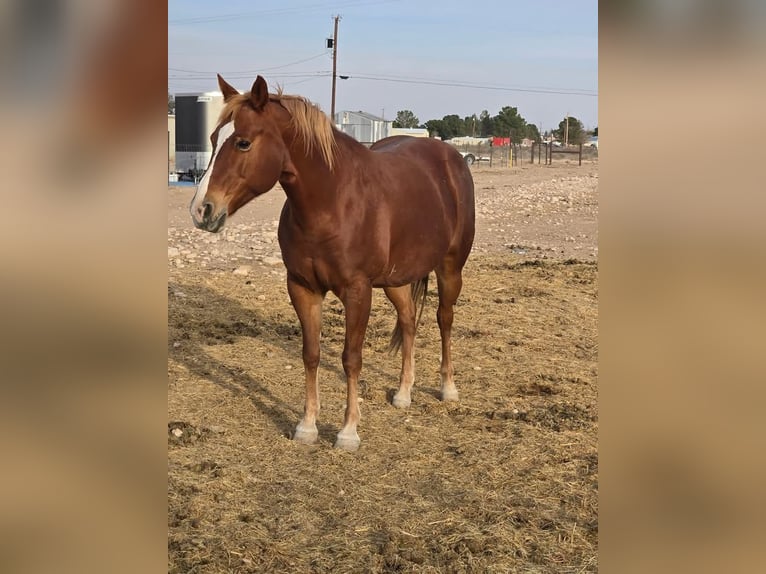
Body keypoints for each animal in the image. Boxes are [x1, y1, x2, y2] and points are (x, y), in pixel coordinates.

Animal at [190, 74, 474, 452]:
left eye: (243, 142)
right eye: (212, 139)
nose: (201, 210)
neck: (332, 201)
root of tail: (450, 156)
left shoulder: (357, 291)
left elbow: (350, 359)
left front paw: (348, 431)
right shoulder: (302, 287)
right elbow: (311, 354)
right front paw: (307, 426)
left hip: (450, 268)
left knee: (444, 319)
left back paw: (448, 388)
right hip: (396, 280)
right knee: (409, 321)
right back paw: (403, 394)